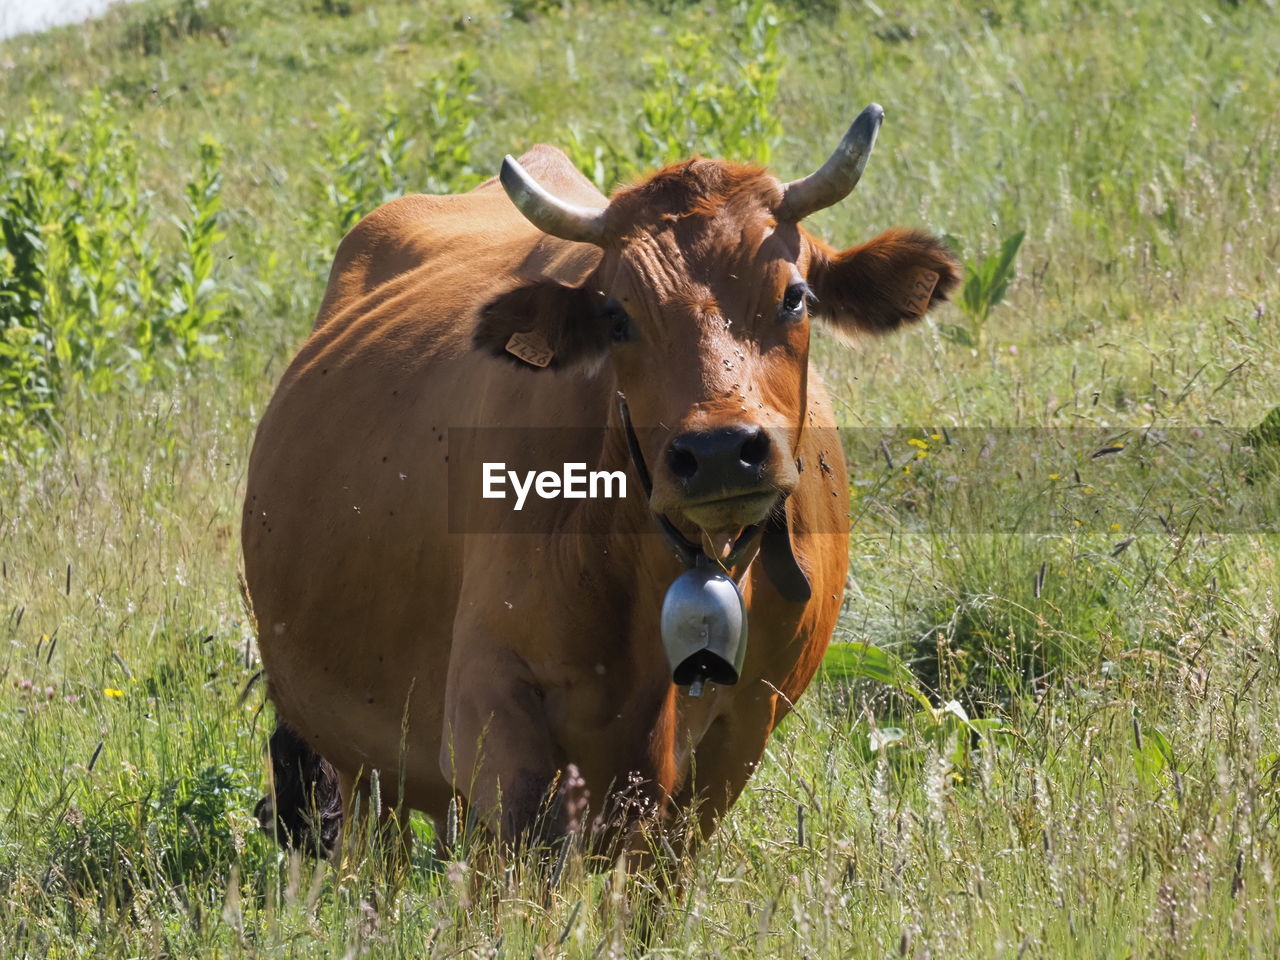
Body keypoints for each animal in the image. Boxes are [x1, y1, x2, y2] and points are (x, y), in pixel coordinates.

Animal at [244, 104, 957, 865]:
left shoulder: (738, 735)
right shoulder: (490, 708)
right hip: (361, 755)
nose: (719, 452)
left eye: (795, 297)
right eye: (618, 317)